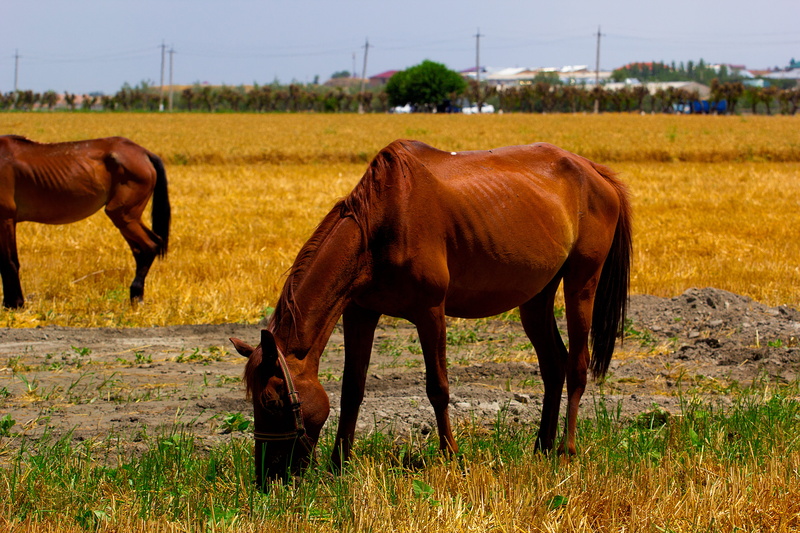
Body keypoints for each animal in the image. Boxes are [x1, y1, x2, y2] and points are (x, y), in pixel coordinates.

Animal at [0, 135, 170, 308]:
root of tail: (144, 153)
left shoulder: (6, 219)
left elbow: (9, 262)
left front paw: (15, 303)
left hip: (124, 216)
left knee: (150, 245)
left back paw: (137, 296)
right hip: (127, 219)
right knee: (142, 248)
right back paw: (136, 296)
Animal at [230, 139, 632, 486]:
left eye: (271, 401)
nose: (267, 476)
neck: (381, 224)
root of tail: (595, 172)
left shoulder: (430, 312)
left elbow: (438, 387)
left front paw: (451, 456)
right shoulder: (360, 314)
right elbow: (351, 389)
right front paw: (338, 463)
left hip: (581, 284)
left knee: (577, 366)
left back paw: (566, 450)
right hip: (535, 297)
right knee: (553, 365)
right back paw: (542, 447)